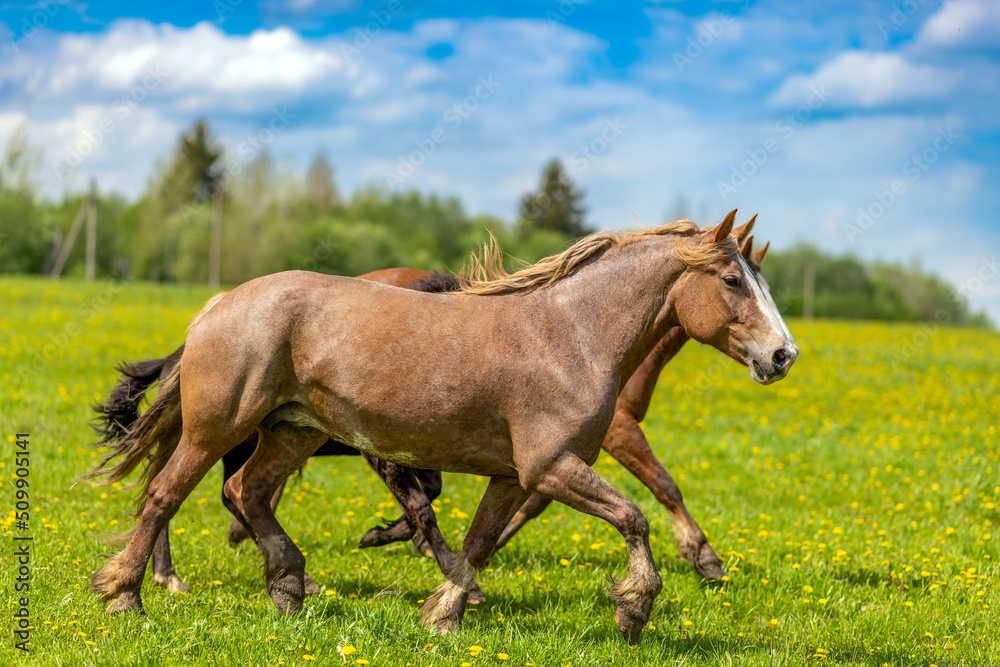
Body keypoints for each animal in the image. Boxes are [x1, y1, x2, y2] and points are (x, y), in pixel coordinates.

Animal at [90, 211, 792, 644]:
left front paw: (443, 614)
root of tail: (216, 306)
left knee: (248, 494)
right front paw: (635, 609)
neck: (571, 336)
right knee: (163, 495)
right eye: (732, 279)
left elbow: (478, 543)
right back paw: (127, 595)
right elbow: (635, 517)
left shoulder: (516, 477)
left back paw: (289, 586)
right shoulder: (552, 467)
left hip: (293, 432)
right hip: (216, 430)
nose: (783, 355)